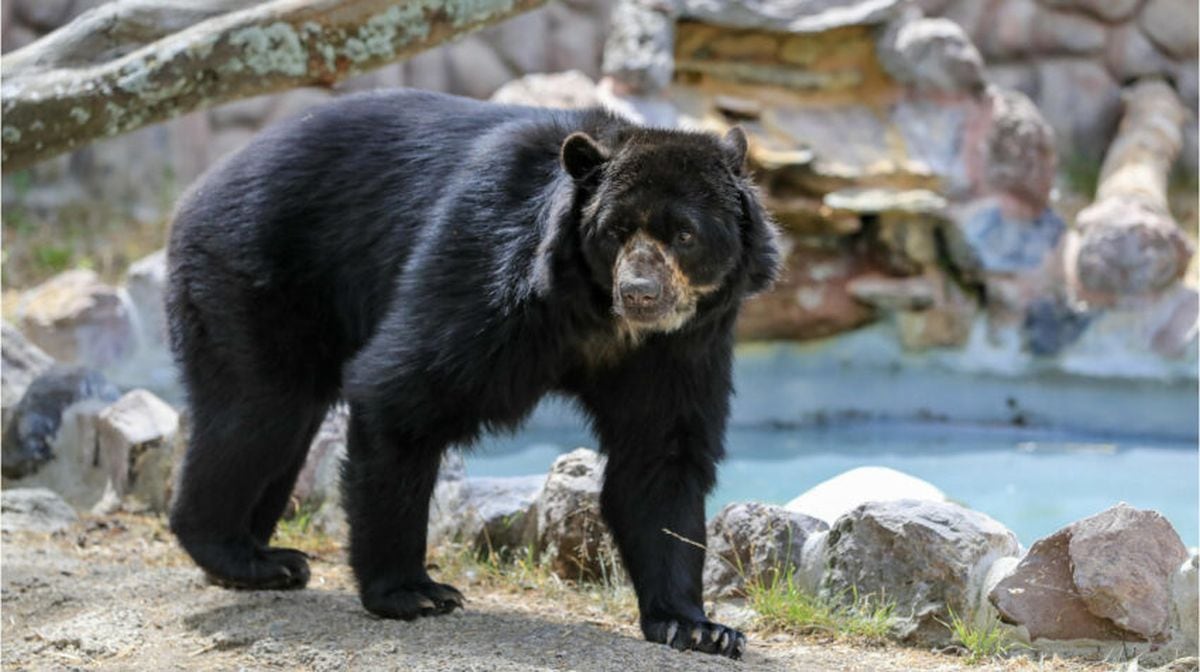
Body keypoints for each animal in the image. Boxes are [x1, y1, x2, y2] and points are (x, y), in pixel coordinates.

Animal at [166, 89, 780, 659]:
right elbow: (400, 392)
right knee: (257, 416)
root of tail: (201, 187)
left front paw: (697, 627)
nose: (640, 293)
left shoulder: (678, 348)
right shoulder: (489, 277)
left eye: (685, 235)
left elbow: (661, 456)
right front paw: (413, 592)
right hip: (255, 275)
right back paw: (243, 555)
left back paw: (261, 554)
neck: (598, 319)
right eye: (615, 231)